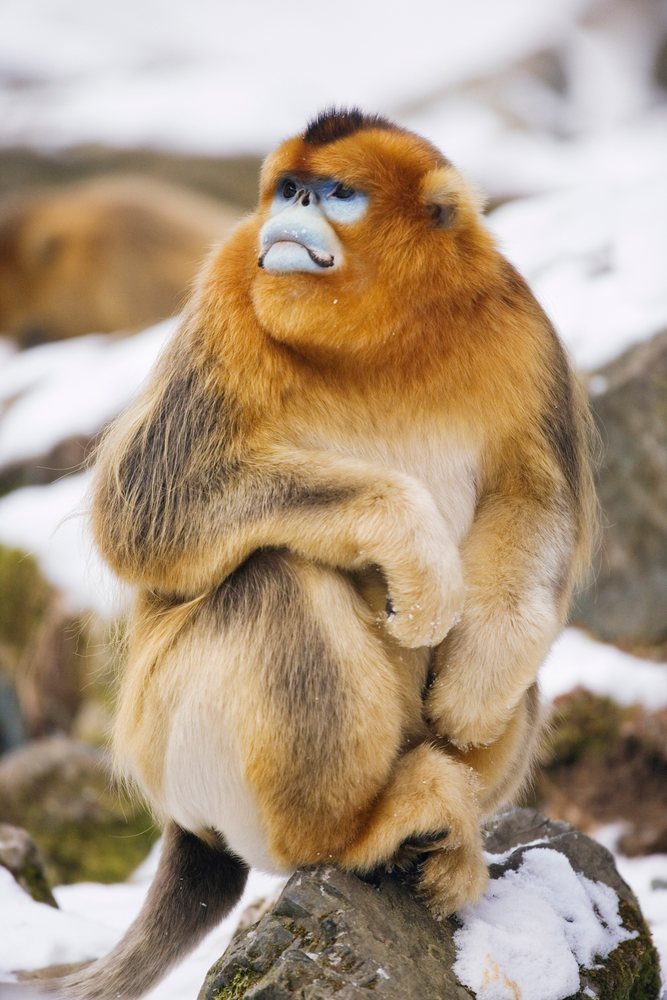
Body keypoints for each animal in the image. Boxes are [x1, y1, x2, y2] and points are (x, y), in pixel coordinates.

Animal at [47, 108, 596, 1000]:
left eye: (335, 193)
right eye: (287, 191)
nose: (291, 215)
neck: (382, 338)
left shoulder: (521, 325)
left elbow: (533, 502)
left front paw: (471, 692)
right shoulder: (228, 289)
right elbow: (151, 507)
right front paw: (414, 551)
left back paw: (441, 841)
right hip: (171, 750)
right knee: (272, 580)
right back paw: (362, 833)